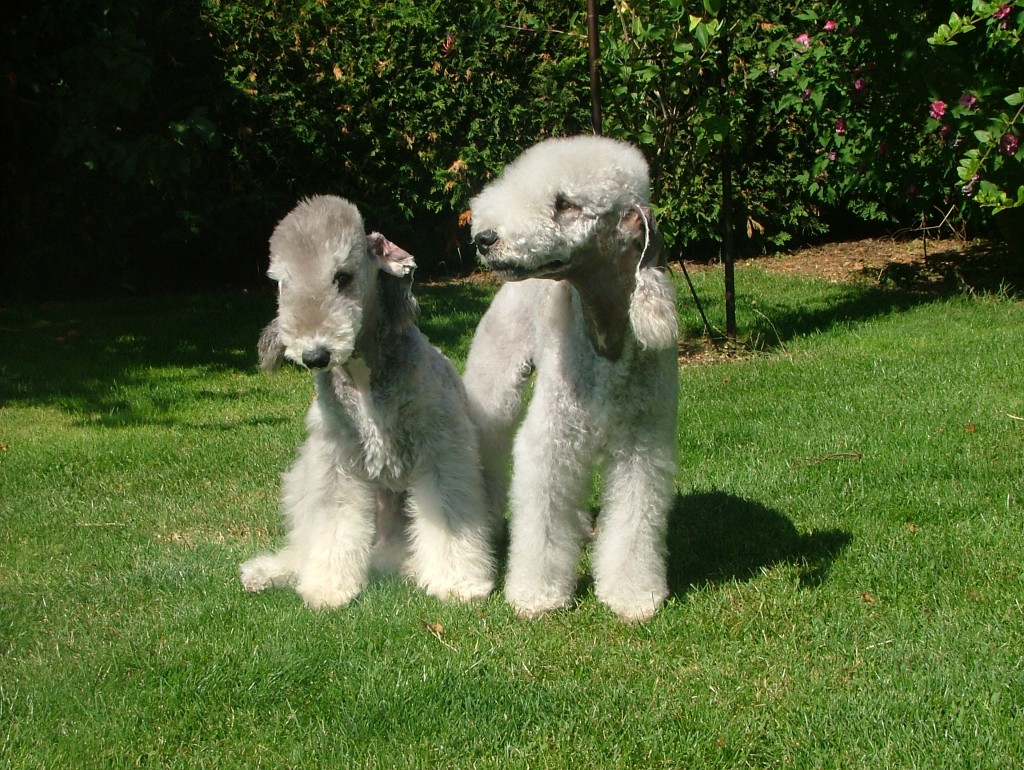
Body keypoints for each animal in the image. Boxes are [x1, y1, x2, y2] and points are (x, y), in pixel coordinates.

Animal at [239, 195, 495, 610]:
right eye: (281, 282)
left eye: (342, 277)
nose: (314, 355)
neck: (363, 376)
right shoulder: (335, 459)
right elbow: (331, 523)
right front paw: (328, 587)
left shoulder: (441, 448)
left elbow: (449, 511)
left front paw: (459, 582)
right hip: (304, 475)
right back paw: (269, 571)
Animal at [464, 135, 679, 622]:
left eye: (565, 204)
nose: (485, 239)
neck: (606, 334)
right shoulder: (552, 437)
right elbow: (541, 517)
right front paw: (536, 595)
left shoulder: (643, 442)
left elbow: (636, 520)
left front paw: (633, 594)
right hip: (495, 383)